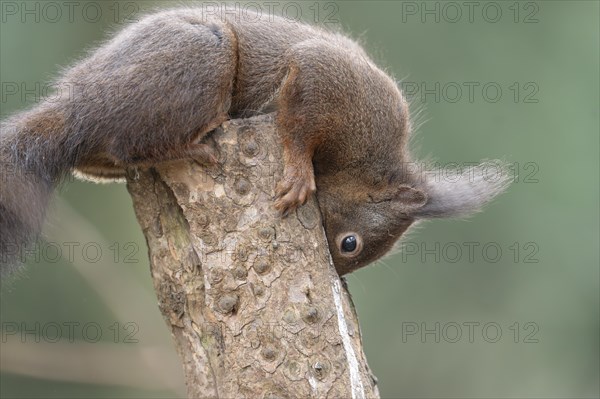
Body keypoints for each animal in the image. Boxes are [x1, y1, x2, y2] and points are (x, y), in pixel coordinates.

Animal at [0, 8, 510, 278]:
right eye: (350, 244)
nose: (337, 276)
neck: (363, 161)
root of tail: (78, 106)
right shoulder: (330, 83)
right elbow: (297, 123)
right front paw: (300, 173)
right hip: (202, 58)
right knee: (133, 144)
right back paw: (194, 146)